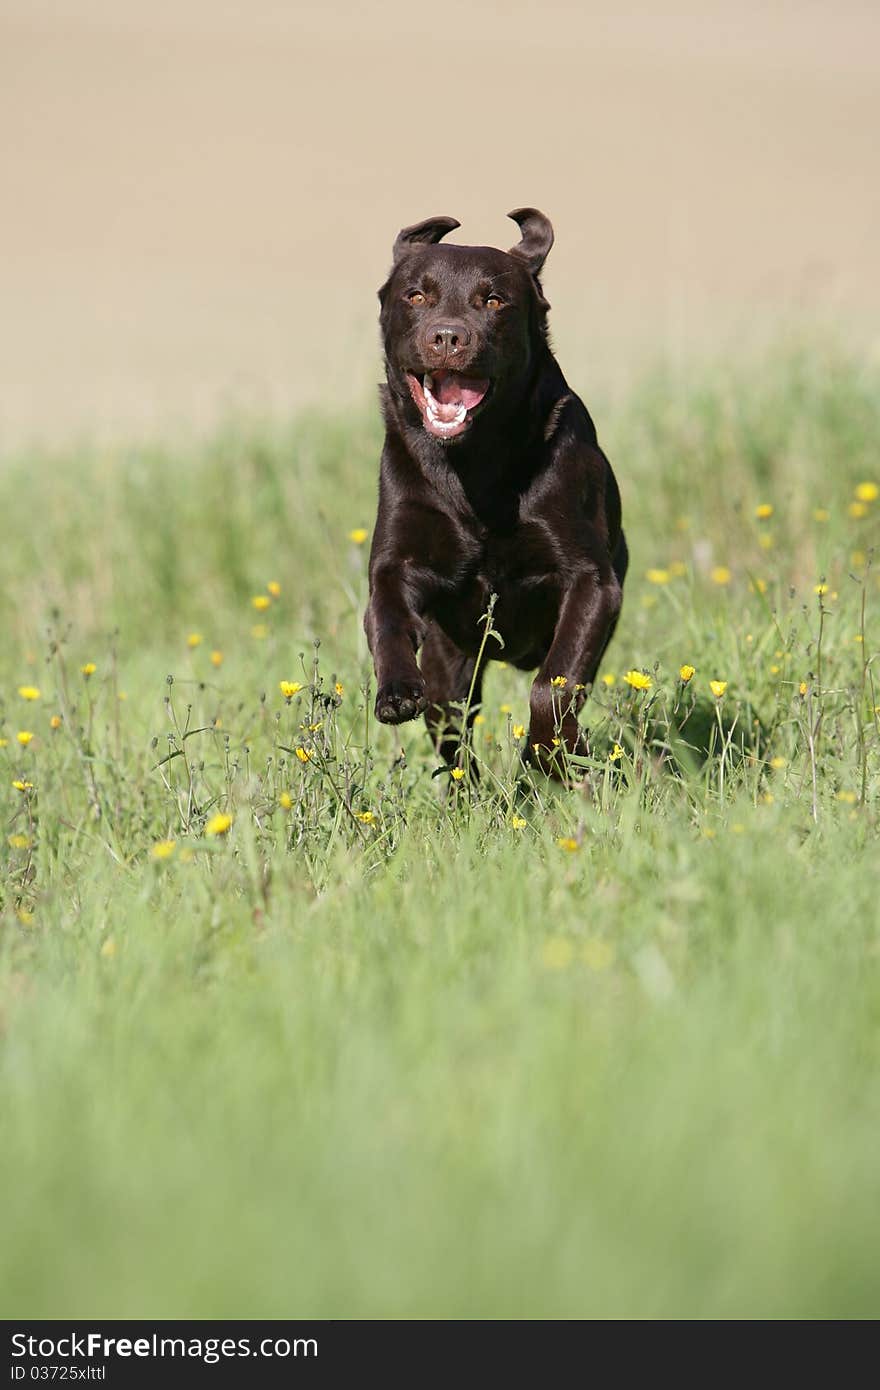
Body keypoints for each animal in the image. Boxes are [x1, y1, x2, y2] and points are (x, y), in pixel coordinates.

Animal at [364, 208, 625, 772]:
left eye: (493, 301)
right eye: (416, 296)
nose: (447, 337)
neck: (473, 467)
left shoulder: (592, 583)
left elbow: (553, 687)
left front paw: (547, 756)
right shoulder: (396, 562)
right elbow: (387, 617)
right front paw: (396, 692)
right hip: (452, 664)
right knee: (452, 731)